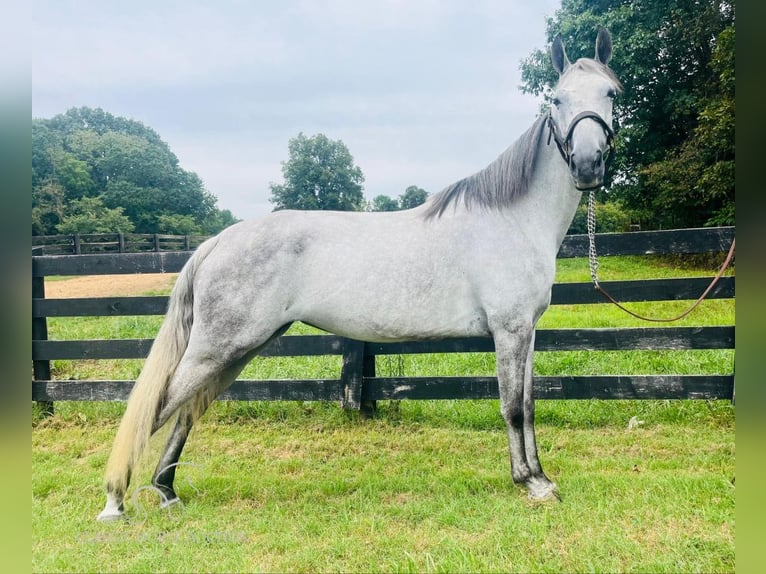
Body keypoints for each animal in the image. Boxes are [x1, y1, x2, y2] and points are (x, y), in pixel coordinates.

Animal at [97, 29, 624, 520]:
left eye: (611, 93)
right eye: (557, 99)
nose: (587, 165)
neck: (511, 218)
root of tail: (218, 241)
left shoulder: (527, 334)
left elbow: (529, 405)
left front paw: (541, 477)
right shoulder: (509, 331)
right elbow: (512, 407)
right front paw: (529, 483)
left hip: (236, 352)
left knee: (187, 410)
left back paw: (166, 491)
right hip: (217, 349)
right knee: (158, 407)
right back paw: (116, 501)